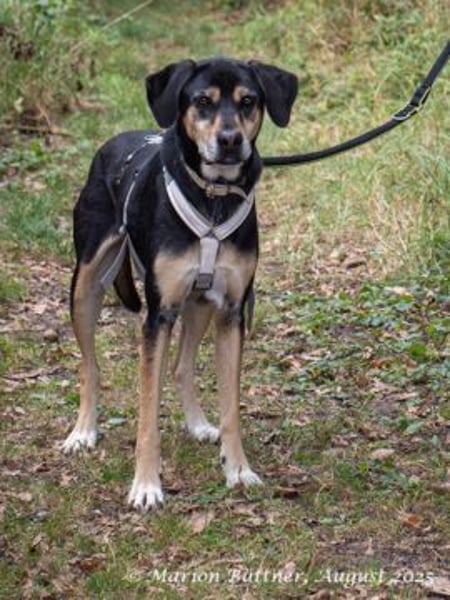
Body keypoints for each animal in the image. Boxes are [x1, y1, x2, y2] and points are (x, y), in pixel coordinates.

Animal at [62, 57, 298, 512]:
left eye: (248, 101)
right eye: (202, 101)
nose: (230, 140)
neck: (213, 195)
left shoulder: (231, 313)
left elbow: (231, 407)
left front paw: (237, 469)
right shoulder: (158, 316)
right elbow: (147, 414)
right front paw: (146, 485)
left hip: (200, 304)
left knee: (182, 366)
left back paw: (198, 423)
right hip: (85, 285)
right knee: (90, 365)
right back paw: (83, 431)